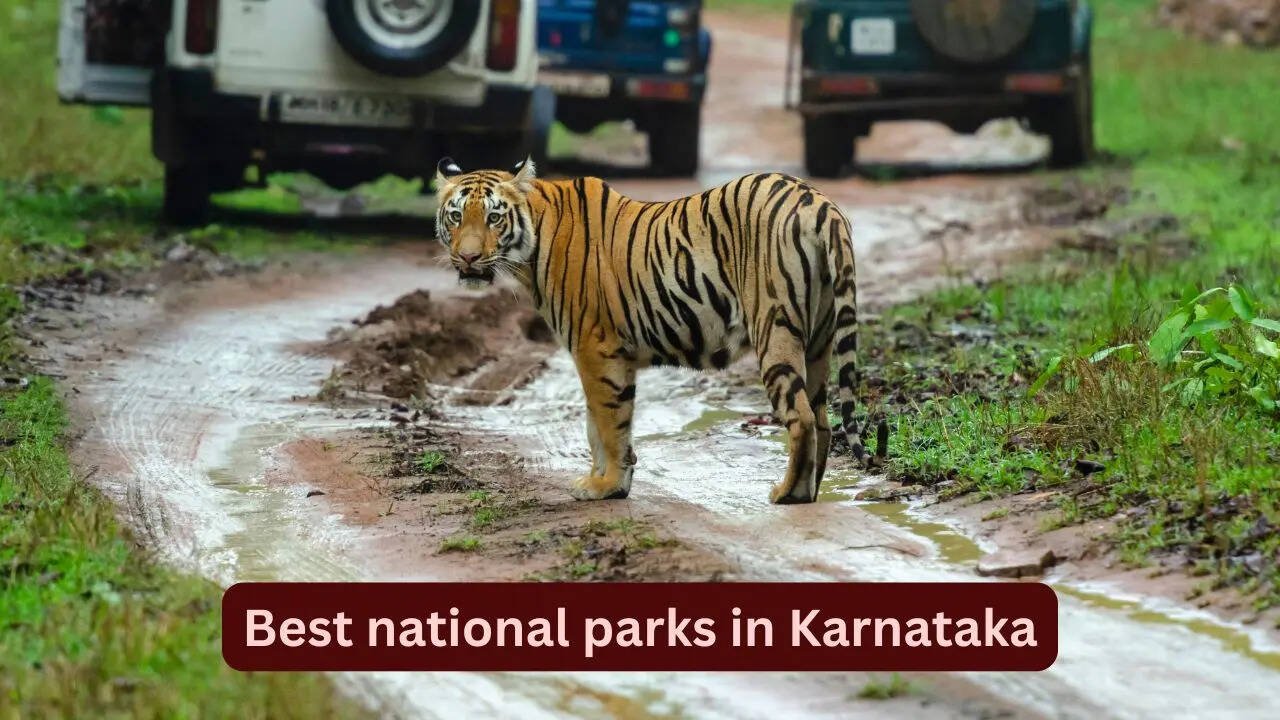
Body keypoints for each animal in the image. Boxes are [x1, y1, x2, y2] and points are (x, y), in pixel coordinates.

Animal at [433, 157, 866, 504]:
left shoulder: (595, 348)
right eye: (456, 216)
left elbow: (608, 424)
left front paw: (605, 485)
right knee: (822, 419)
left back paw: (788, 493)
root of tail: (819, 202)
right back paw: (810, 490)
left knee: (801, 417)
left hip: (775, 328)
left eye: (494, 217)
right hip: (819, 340)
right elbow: (597, 424)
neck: (532, 245)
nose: (467, 258)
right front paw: (606, 481)